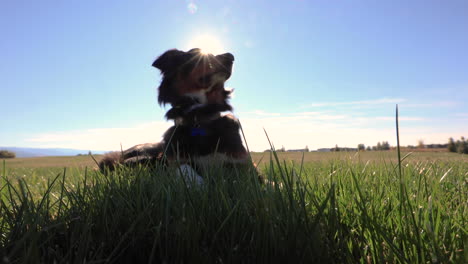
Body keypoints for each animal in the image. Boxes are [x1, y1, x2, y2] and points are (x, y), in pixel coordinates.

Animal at [99, 48, 260, 184]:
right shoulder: (171, 161)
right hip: (142, 157)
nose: (230, 56)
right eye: (195, 54)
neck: (199, 117)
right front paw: (200, 185)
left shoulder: (243, 162)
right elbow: (184, 169)